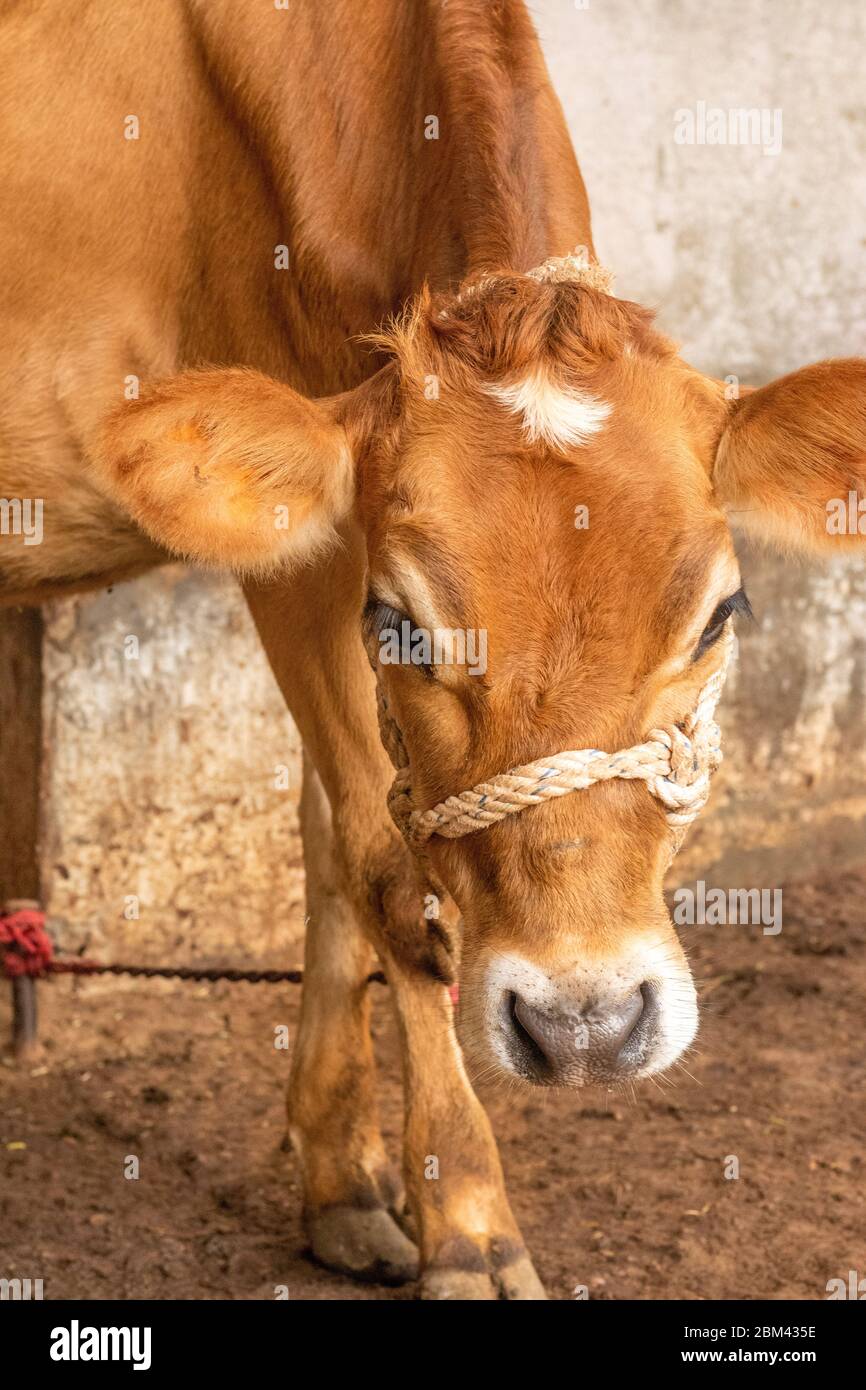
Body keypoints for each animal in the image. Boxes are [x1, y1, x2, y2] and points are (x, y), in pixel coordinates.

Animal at [1, 0, 863, 1300]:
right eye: (407, 622)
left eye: (721, 612)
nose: (583, 1024)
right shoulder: (307, 554)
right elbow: (384, 872)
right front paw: (468, 1228)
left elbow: (324, 836)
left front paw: (343, 1180)